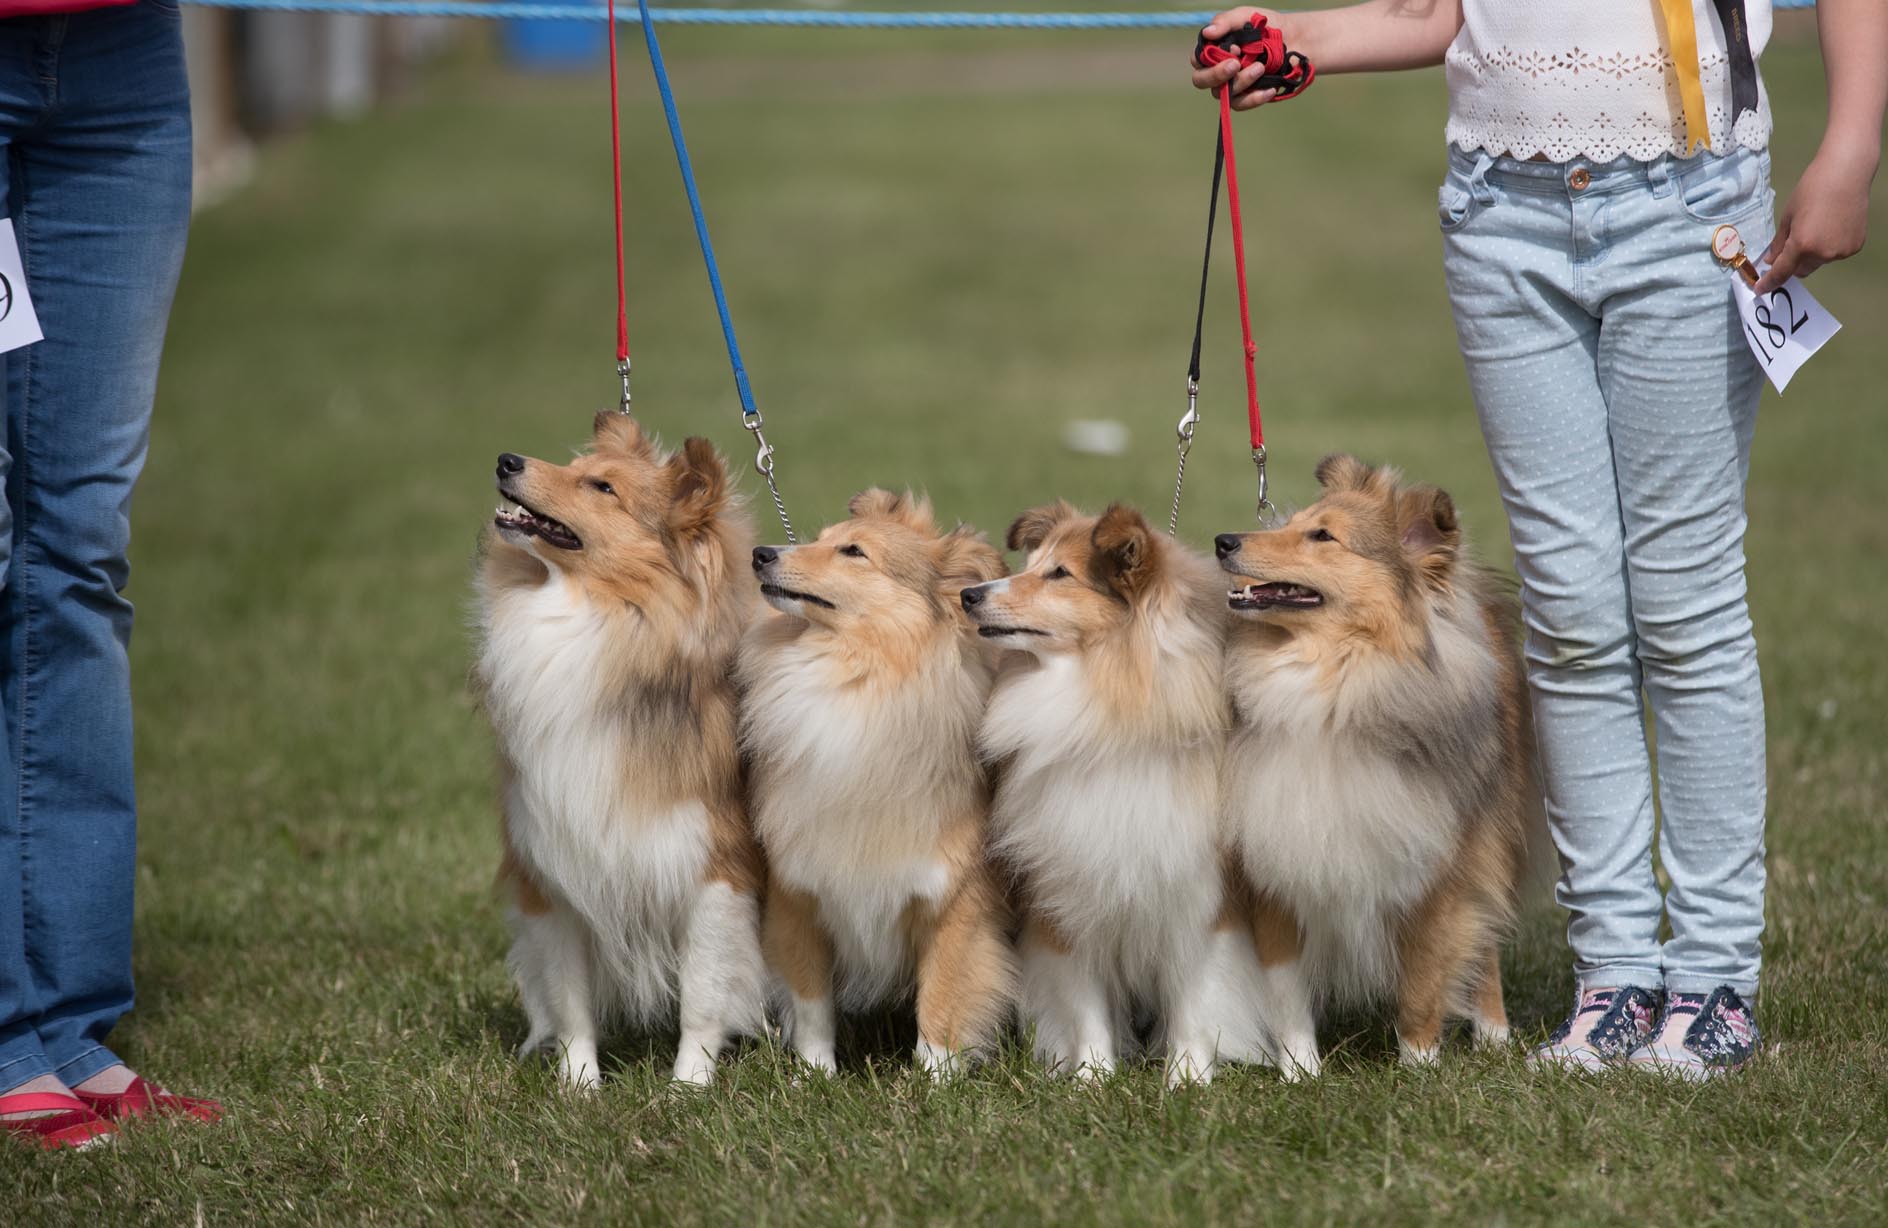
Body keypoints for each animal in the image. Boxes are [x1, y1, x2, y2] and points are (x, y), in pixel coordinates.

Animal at [472, 415, 766, 1088]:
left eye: (602, 487)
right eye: (576, 467)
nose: (505, 460)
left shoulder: (715, 871)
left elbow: (704, 993)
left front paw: (688, 1087)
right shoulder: (554, 869)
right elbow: (570, 998)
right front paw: (579, 1086)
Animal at [736, 487, 1019, 1073]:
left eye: (853, 552)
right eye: (818, 538)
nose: (761, 554)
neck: (859, 677)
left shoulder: (956, 906)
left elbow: (942, 1003)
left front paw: (936, 1081)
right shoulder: (798, 897)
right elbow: (811, 1002)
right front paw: (814, 1077)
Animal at [966, 498, 1261, 1080]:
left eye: (1059, 574)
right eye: (1030, 562)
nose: (969, 595)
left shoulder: (1197, 895)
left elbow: (1194, 997)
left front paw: (1187, 1078)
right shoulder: (1069, 892)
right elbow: (1085, 1004)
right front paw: (1091, 1077)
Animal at [1215, 451, 1540, 1073]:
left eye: (1323, 536)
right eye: (1293, 522)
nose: (1222, 540)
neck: (1333, 681)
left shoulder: (1436, 873)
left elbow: (1422, 984)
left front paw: (1419, 1067)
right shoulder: (1275, 862)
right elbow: (1285, 987)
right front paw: (1301, 1073)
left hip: (1491, 836)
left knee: (1485, 942)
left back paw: (1494, 1037)